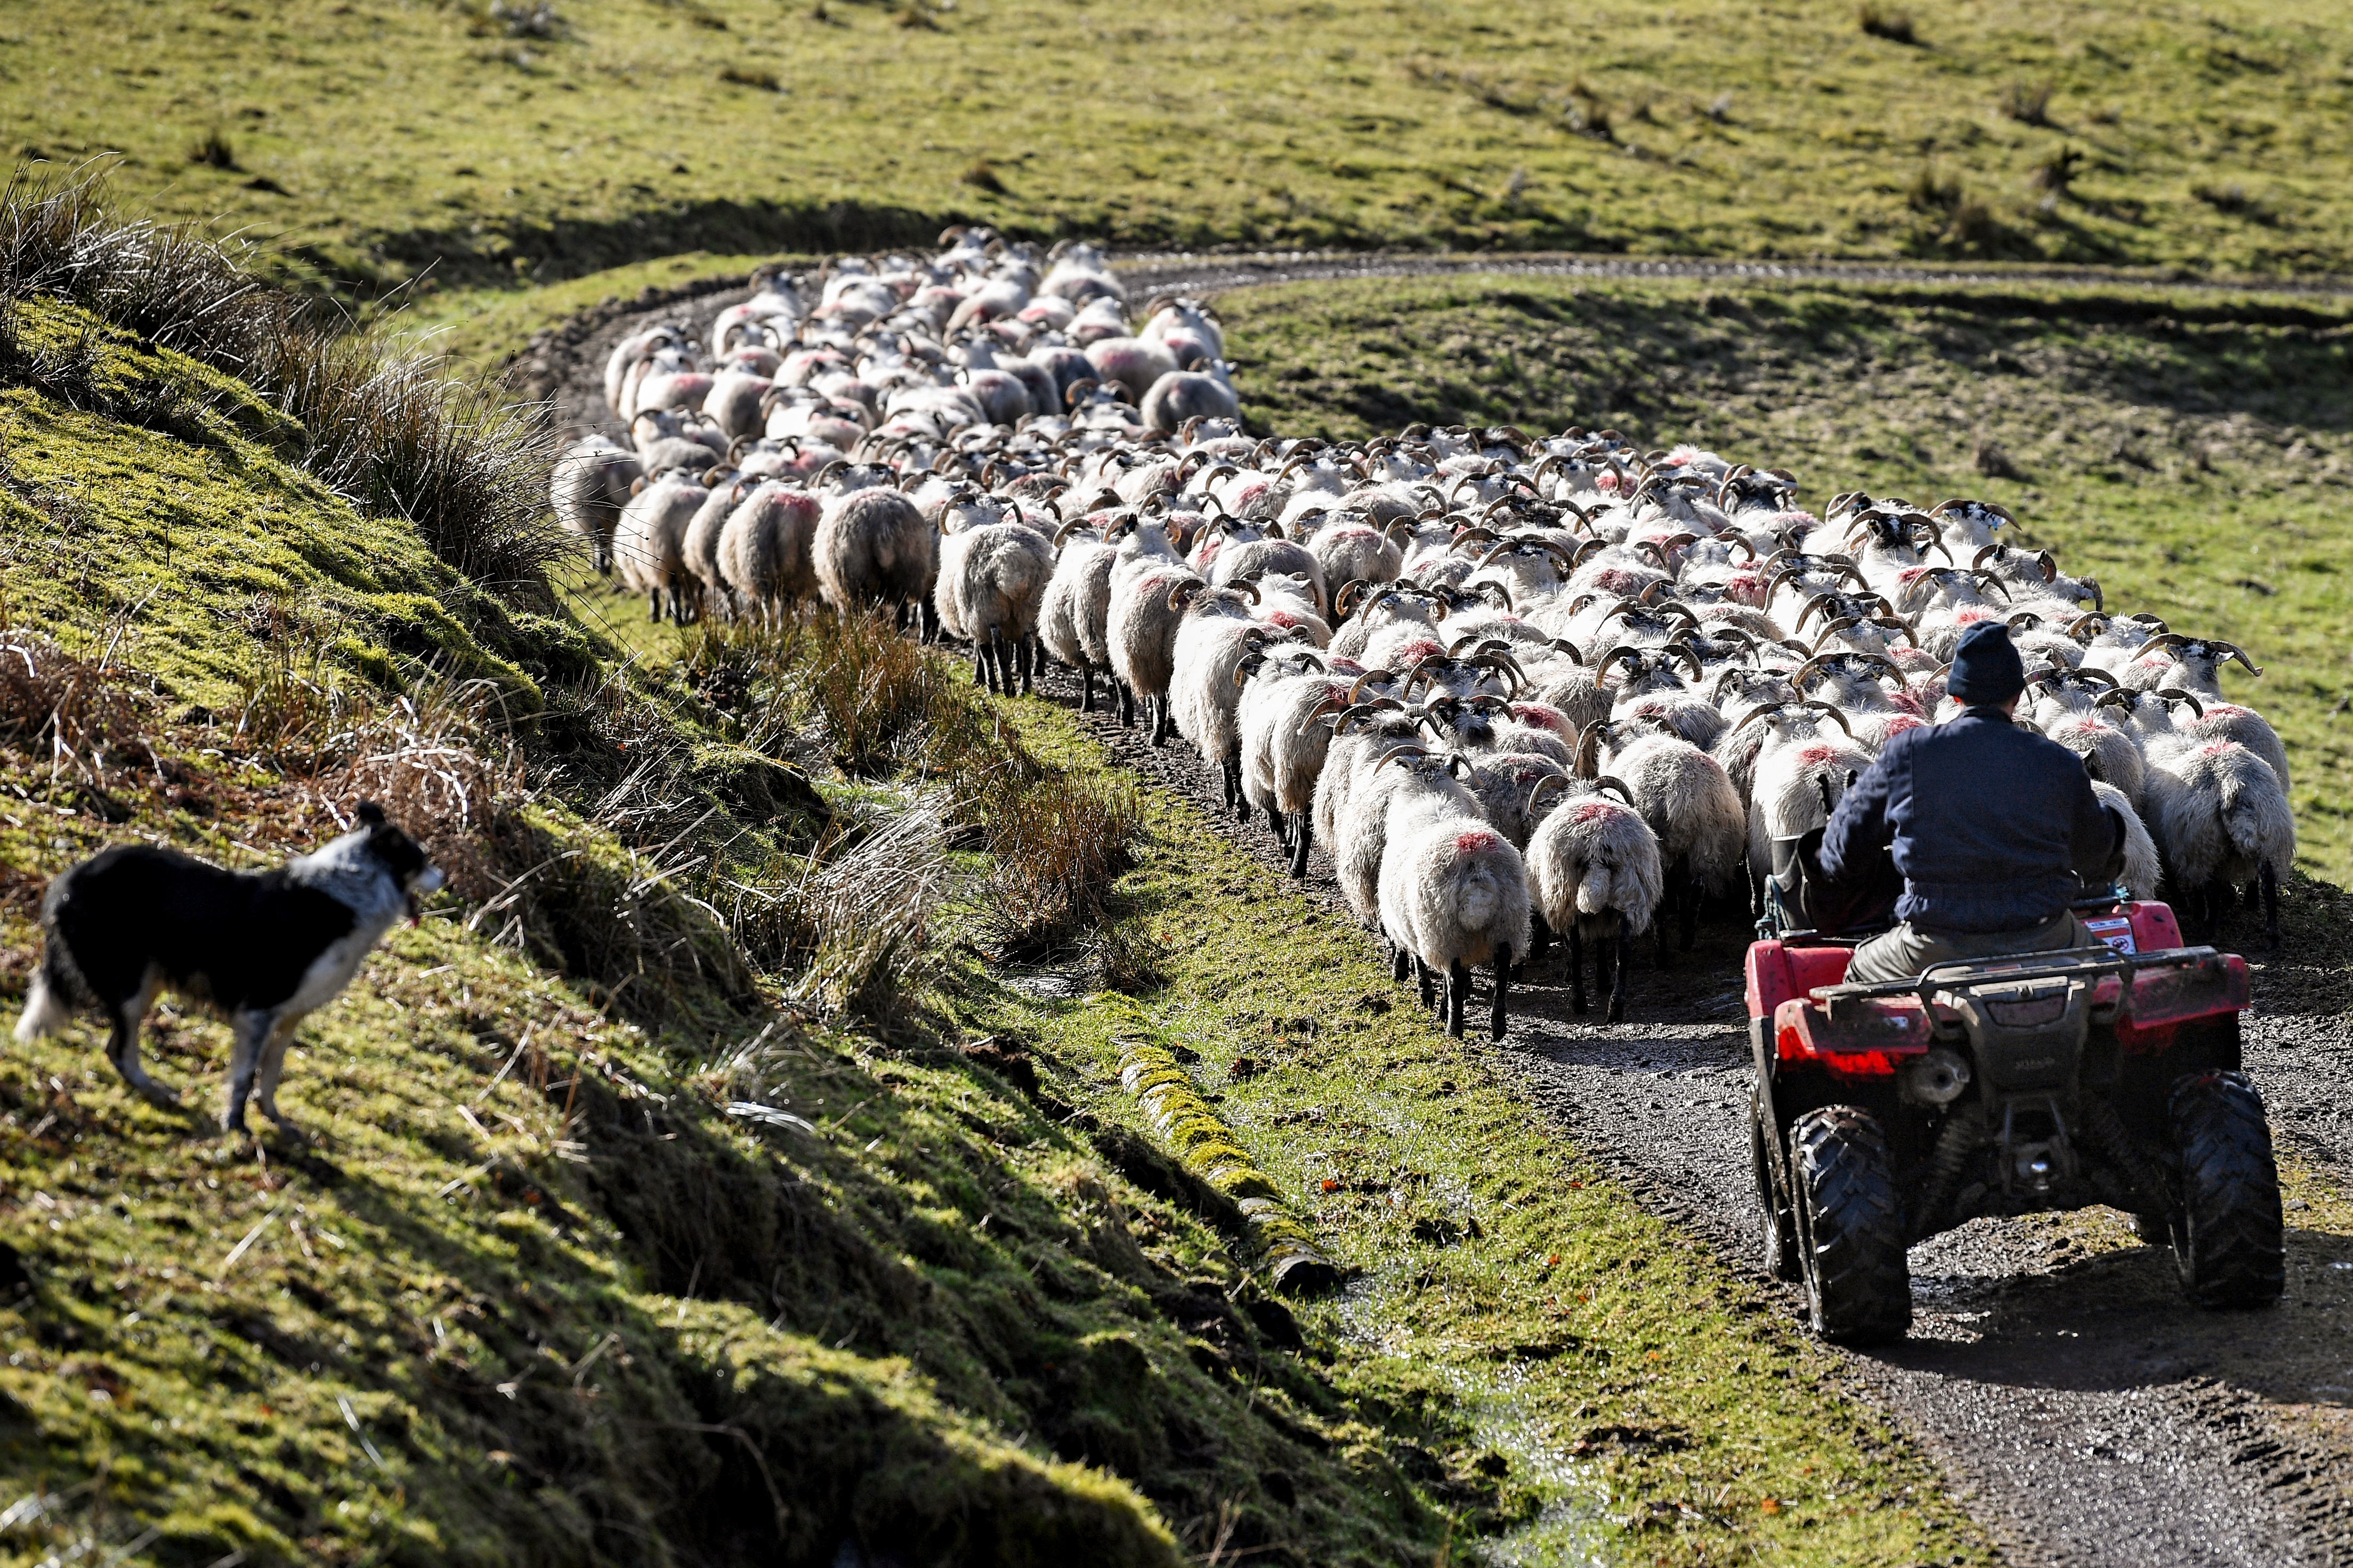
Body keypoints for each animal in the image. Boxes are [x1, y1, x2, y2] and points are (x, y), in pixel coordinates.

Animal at [1515, 776, 1665, 1025]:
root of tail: (1598, 841)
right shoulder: (1606, 911)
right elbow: (1602, 941)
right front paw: (1603, 978)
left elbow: (1578, 945)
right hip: (1630, 893)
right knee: (1623, 950)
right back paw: (1616, 1007)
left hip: (1566, 892)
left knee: (1575, 949)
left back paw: (1579, 1002)